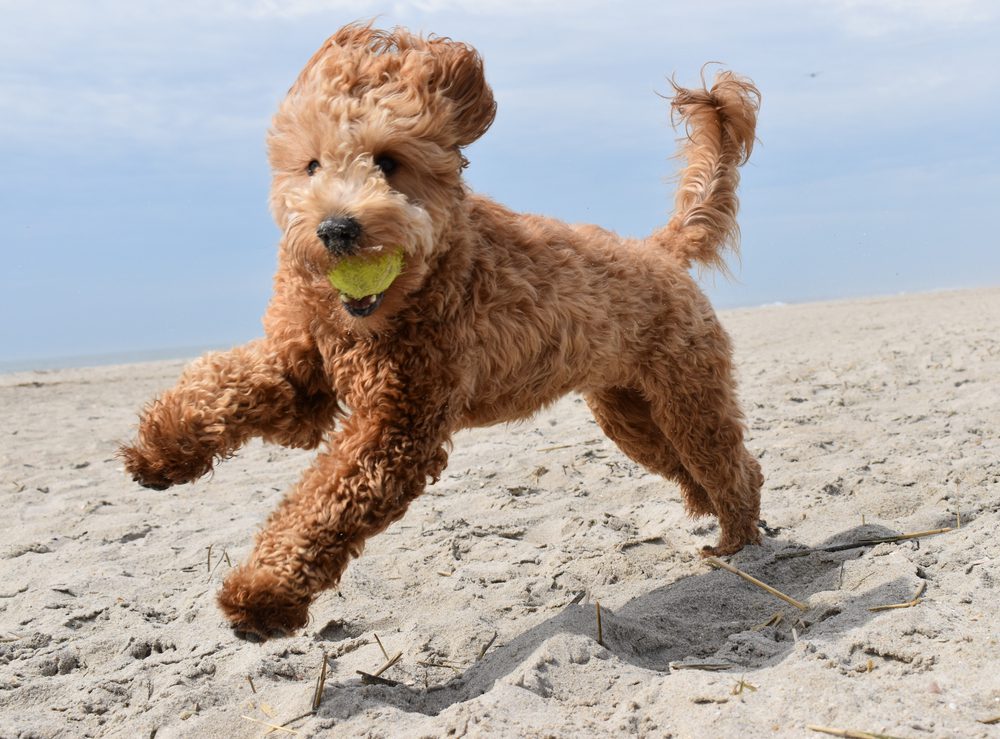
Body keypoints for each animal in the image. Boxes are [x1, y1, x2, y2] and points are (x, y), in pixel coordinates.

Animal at [125, 24, 764, 640]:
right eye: (311, 165)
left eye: (387, 161)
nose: (335, 229)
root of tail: (658, 249)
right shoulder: (302, 369)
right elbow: (222, 384)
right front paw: (160, 448)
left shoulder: (397, 427)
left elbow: (322, 505)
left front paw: (262, 595)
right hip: (630, 412)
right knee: (691, 466)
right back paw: (712, 516)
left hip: (687, 396)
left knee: (733, 465)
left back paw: (737, 540)